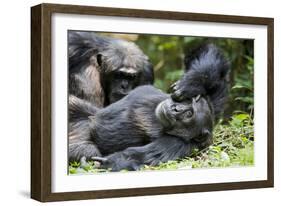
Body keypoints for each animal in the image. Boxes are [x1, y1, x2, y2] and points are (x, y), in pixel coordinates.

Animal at [68, 43, 230, 171]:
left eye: (189, 115)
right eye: (189, 105)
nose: (176, 109)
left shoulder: (180, 145)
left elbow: (141, 156)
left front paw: (112, 162)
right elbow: (206, 54)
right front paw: (192, 83)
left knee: (89, 149)